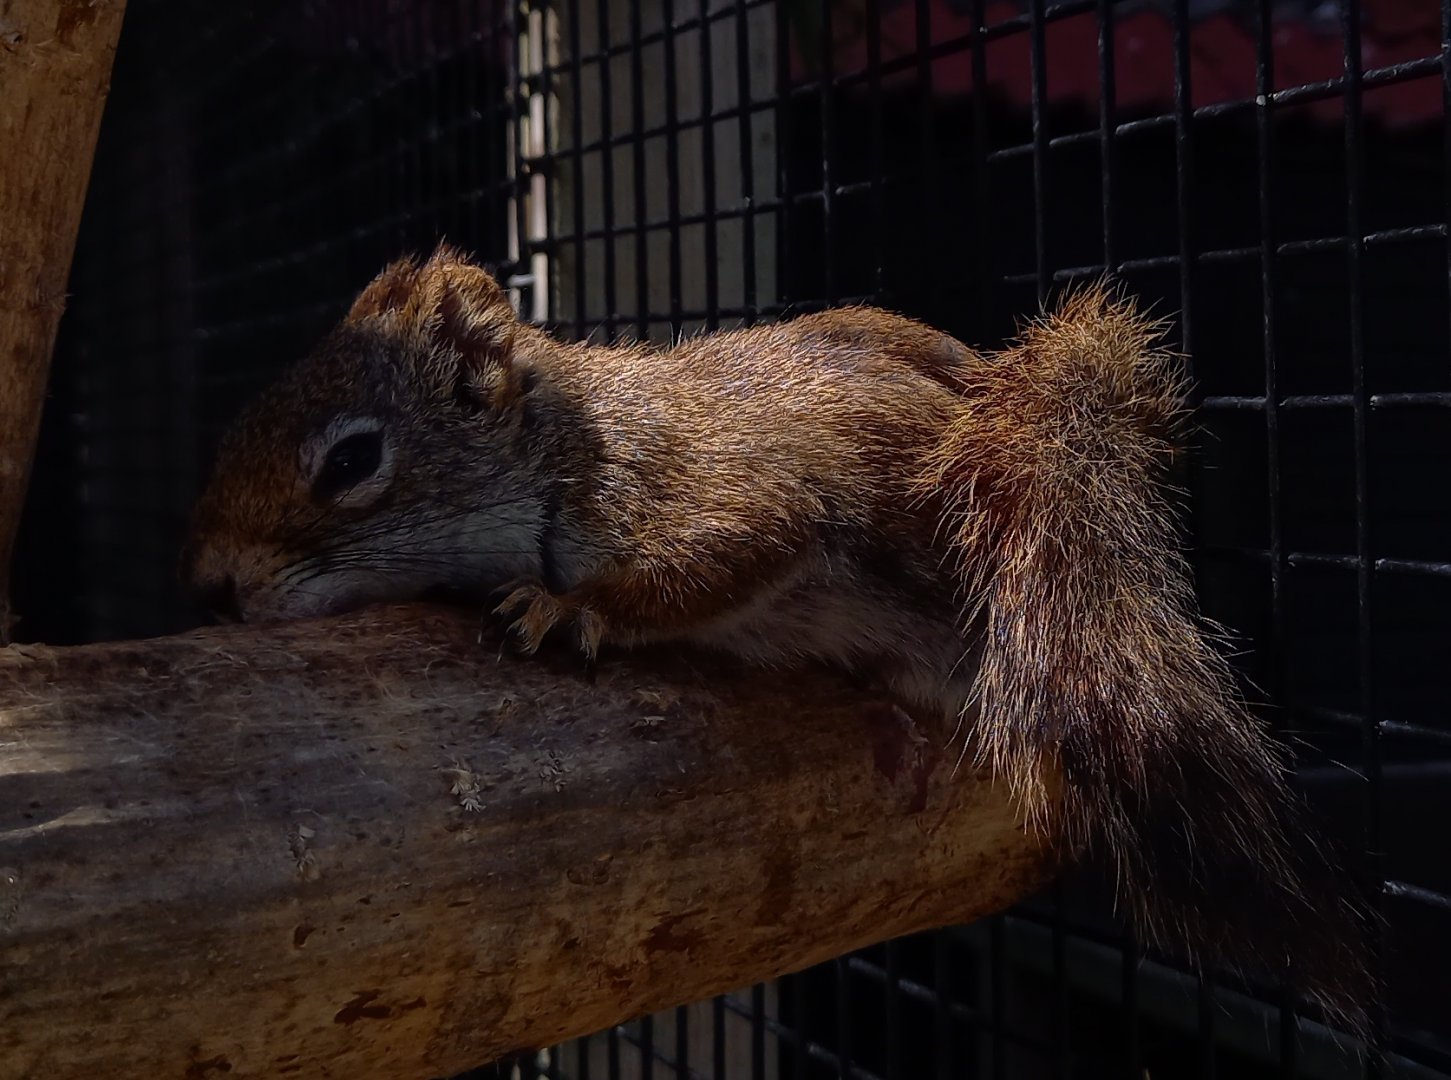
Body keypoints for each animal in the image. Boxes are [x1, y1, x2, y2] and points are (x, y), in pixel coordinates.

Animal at [182, 244, 1373, 1036]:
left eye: (350, 462)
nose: (213, 588)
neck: (571, 447)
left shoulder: (731, 487)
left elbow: (718, 559)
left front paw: (575, 607)